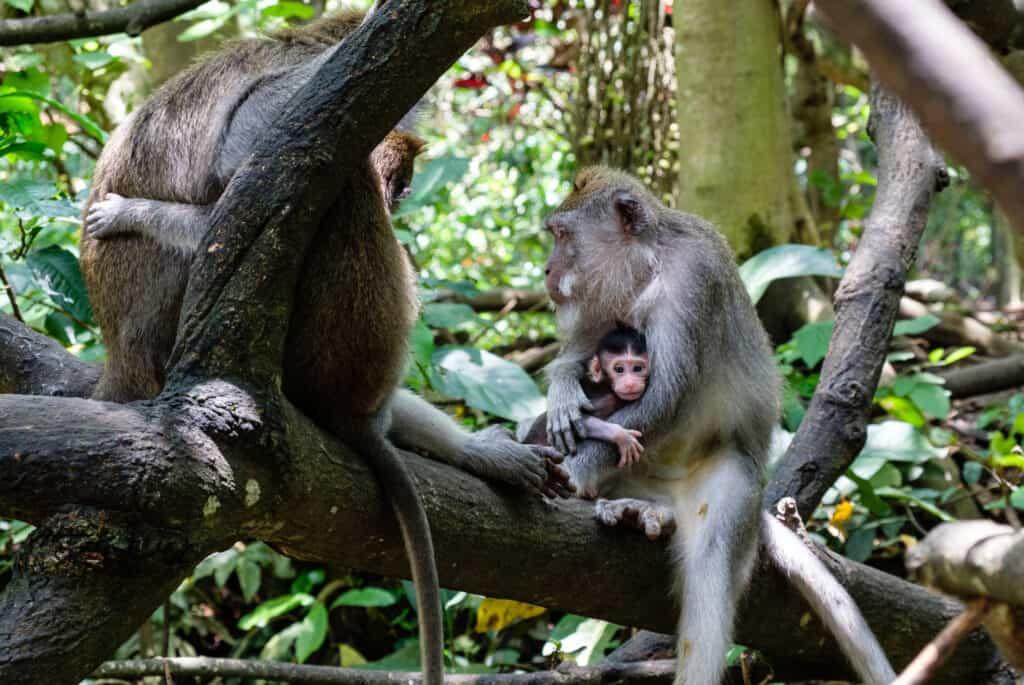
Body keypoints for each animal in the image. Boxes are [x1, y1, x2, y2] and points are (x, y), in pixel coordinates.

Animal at [77, 10, 572, 685]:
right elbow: (234, 197)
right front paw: (139, 212)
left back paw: (468, 451)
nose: (400, 199)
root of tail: (121, 361)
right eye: (404, 184)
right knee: (335, 188)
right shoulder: (300, 98)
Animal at [520, 322, 648, 483]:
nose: (631, 383)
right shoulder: (599, 396)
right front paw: (621, 436)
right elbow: (578, 423)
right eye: (619, 369)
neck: (607, 388)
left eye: (638, 368)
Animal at [540, 166, 896, 685]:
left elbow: (666, 398)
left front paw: (574, 470)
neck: (647, 266)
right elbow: (586, 353)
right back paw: (631, 509)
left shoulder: (693, 283)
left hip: (729, 485)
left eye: (563, 236)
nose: (547, 271)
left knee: (710, 564)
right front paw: (563, 388)